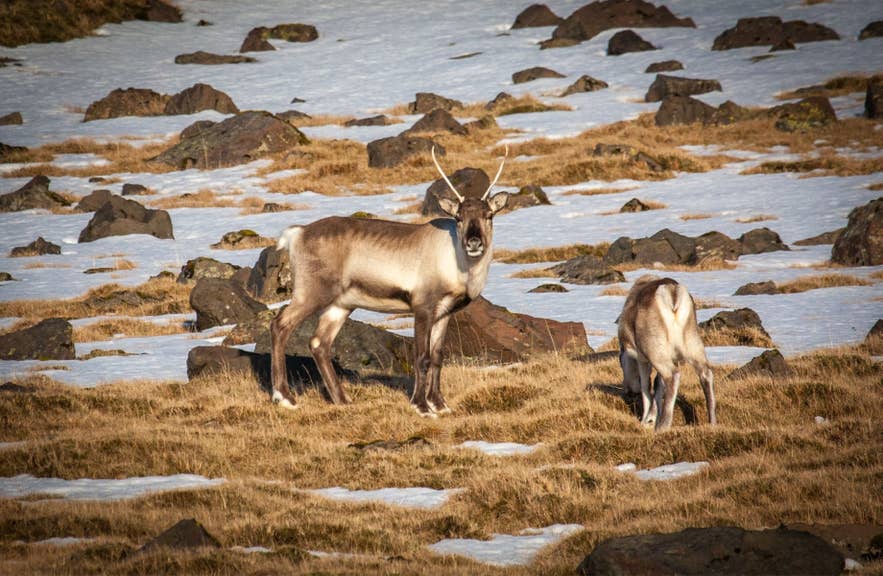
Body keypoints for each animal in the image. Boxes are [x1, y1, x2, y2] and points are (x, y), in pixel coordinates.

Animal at [270, 146, 509, 416]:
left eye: (489, 215)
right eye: (458, 217)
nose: (474, 242)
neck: (461, 268)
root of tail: (296, 234)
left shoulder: (445, 312)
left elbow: (438, 357)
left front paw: (441, 404)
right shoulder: (422, 307)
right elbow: (422, 357)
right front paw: (422, 406)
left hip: (341, 304)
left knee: (319, 343)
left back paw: (343, 399)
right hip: (310, 292)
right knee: (280, 325)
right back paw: (284, 397)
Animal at [617, 274, 716, 432]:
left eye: (621, 362)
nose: (627, 390)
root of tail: (672, 293)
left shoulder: (643, 359)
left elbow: (646, 387)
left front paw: (647, 421)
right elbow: (658, 384)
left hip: (656, 353)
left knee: (672, 376)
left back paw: (663, 426)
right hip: (693, 346)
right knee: (706, 374)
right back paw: (712, 423)